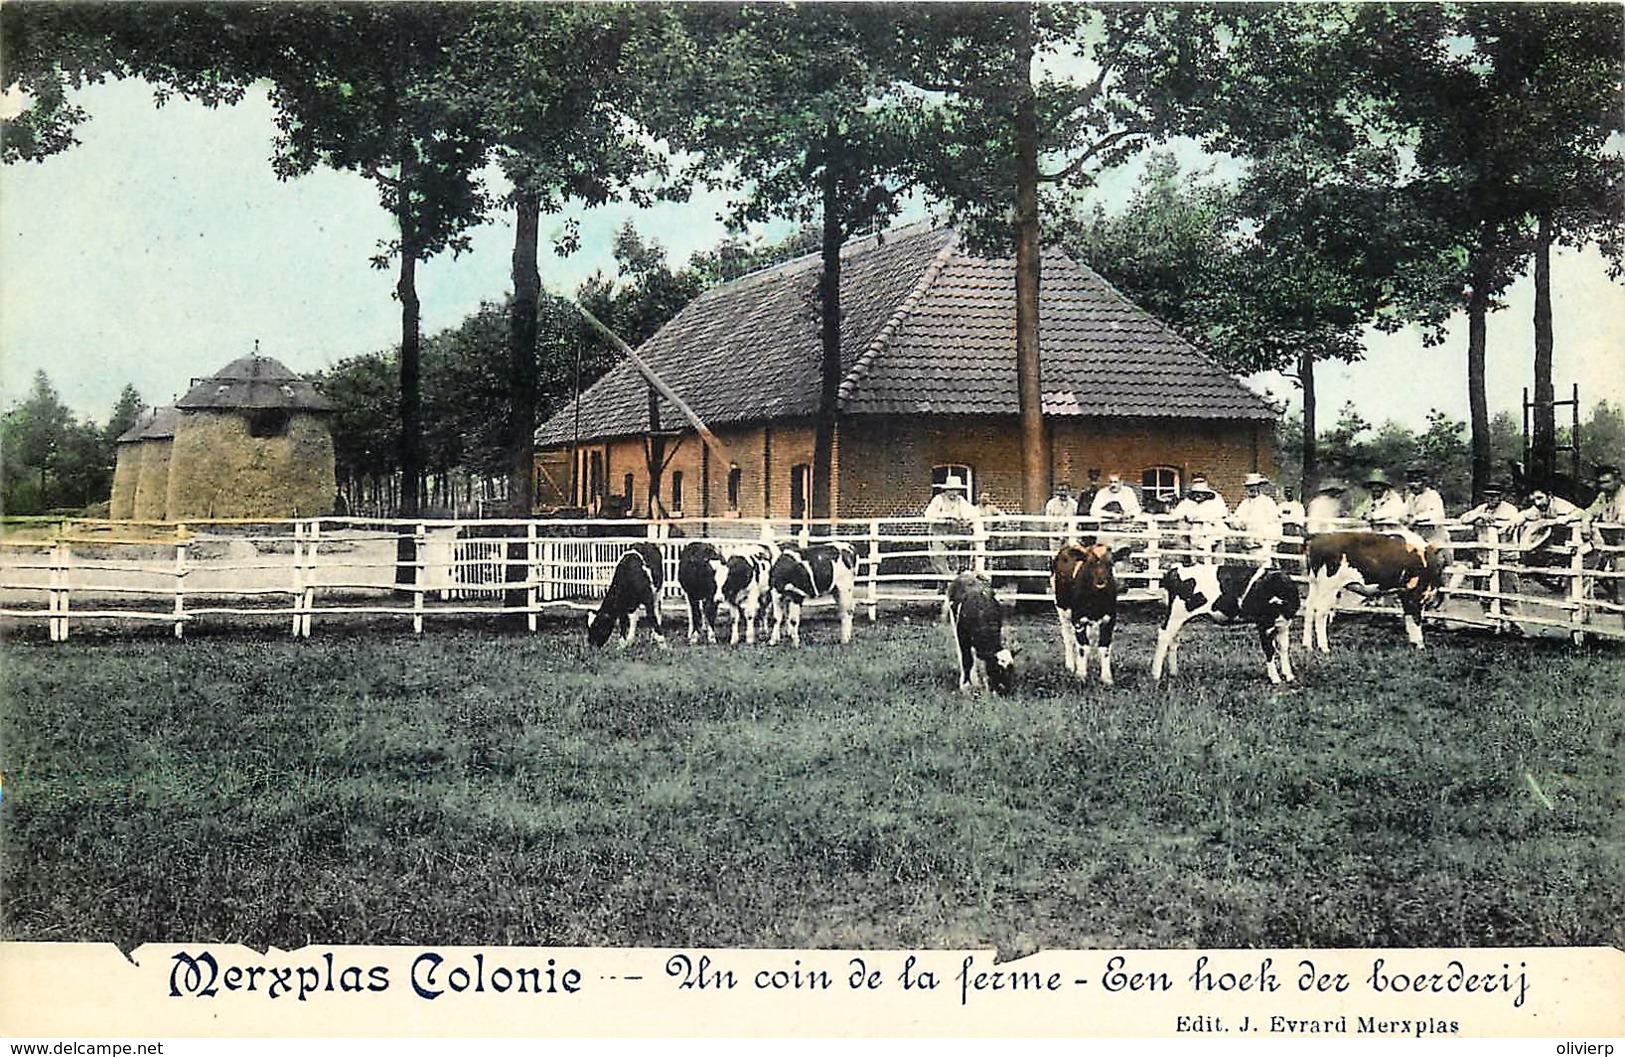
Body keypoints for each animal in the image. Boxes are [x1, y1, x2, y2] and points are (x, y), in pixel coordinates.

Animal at [1046, 543, 1124, 682]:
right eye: (1090, 563)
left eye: (1110, 563)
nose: (1100, 582)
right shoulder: (1078, 620)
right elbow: (1083, 647)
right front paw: (1081, 674)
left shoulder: (1110, 620)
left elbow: (1104, 647)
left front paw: (1106, 677)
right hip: (1062, 610)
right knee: (1068, 638)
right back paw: (1071, 665)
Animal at [1150, 559, 1300, 682]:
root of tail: (1176, 569)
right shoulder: (1264, 625)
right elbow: (1269, 650)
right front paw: (1275, 678)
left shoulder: (1283, 624)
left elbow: (1284, 648)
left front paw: (1289, 675)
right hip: (1176, 614)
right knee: (1164, 636)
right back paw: (1155, 675)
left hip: (1180, 618)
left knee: (1173, 640)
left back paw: (1173, 672)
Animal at [1306, 526, 1449, 650]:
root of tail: (1317, 539)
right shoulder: (1415, 592)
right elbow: (1415, 618)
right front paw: (1419, 645)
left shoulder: (1405, 592)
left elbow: (1409, 617)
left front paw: (1415, 644)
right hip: (1329, 587)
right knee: (1320, 612)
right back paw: (1324, 648)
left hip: (1314, 584)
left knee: (1309, 608)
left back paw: (1307, 646)